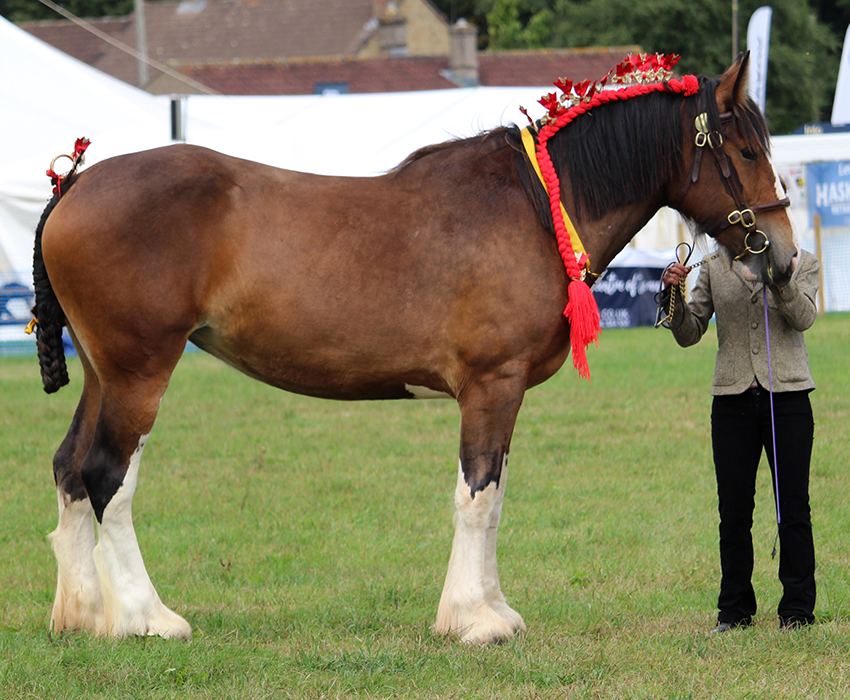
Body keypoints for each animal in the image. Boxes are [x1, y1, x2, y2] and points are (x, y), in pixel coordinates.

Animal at [29, 54, 792, 644]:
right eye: (746, 152)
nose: (781, 256)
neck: (535, 206)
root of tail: (77, 183)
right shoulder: (491, 385)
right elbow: (477, 497)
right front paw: (474, 620)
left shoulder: (503, 395)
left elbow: (496, 495)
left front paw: (493, 610)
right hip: (139, 372)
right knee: (107, 476)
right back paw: (146, 618)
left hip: (103, 375)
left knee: (69, 469)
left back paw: (84, 615)